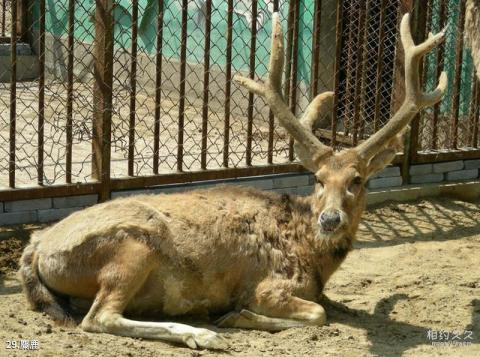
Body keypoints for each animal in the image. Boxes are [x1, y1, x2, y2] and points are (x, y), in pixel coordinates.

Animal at [18, 12, 446, 350]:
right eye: (319, 178)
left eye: (358, 179)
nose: (330, 219)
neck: (312, 256)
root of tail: (37, 250)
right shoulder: (268, 285)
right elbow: (317, 314)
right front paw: (238, 316)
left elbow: (332, 306)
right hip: (131, 248)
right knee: (98, 317)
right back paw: (204, 334)